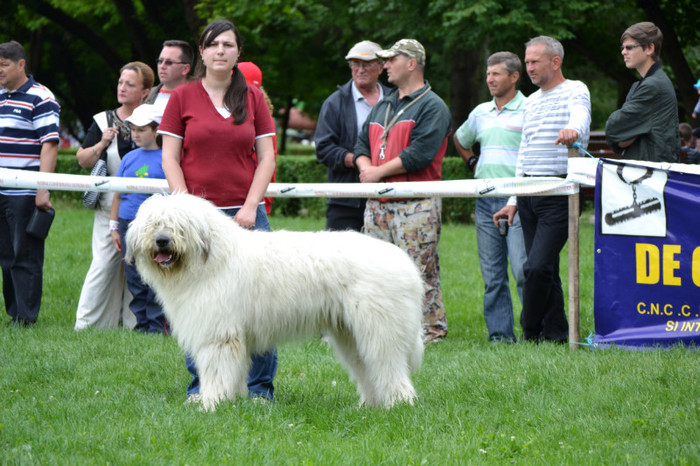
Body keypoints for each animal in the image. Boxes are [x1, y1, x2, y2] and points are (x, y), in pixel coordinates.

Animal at [126, 194, 424, 412]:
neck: (210, 261)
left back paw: (398, 405)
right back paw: (370, 406)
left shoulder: (219, 335)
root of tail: (406, 264)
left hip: (379, 329)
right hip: (350, 334)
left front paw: (210, 404)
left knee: (389, 367)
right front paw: (229, 402)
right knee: (368, 369)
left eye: (178, 225)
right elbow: (234, 373)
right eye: (153, 224)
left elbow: (216, 371)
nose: (162, 241)